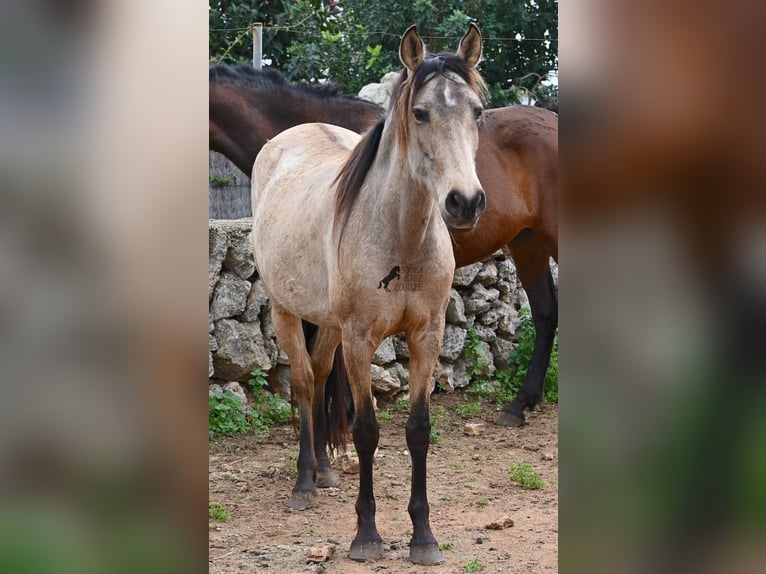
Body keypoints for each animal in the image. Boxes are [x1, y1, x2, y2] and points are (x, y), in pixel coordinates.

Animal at [254, 23, 492, 568]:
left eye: (477, 111)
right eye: (420, 113)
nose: (465, 202)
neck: (400, 242)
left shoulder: (427, 336)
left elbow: (418, 429)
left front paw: (423, 537)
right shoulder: (361, 339)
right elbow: (366, 430)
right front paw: (366, 534)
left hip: (329, 325)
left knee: (320, 376)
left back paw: (324, 470)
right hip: (286, 312)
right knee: (304, 383)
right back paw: (304, 483)